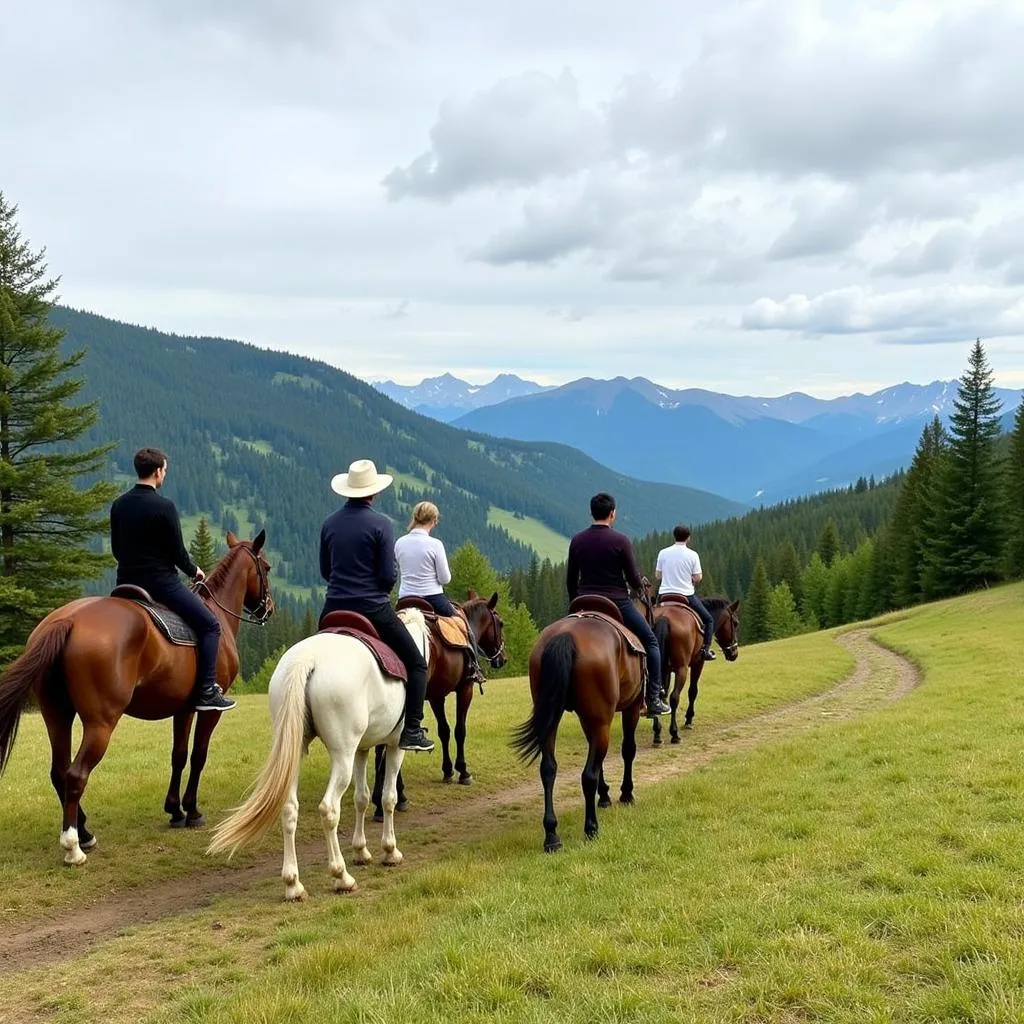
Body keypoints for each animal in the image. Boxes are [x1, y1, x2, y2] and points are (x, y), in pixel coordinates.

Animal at [0, 532, 274, 868]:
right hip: (101, 723)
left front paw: (174, 810)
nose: (269, 608)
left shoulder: (183, 709)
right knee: (76, 775)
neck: (217, 613)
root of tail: (67, 621)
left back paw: (85, 832)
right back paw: (73, 846)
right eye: (266, 567)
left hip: (57, 714)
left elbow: (178, 755)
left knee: (59, 772)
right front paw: (192, 810)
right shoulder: (209, 710)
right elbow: (198, 755)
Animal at [205, 606, 430, 897]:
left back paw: (293, 884)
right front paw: (390, 851)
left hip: (298, 754)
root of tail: (308, 658)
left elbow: (361, 797)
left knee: (289, 808)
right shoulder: (393, 747)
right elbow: (388, 798)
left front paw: (361, 851)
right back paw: (341, 876)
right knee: (329, 809)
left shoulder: (361, 750)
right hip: (342, 756)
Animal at [372, 589, 507, 819]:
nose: (502, 658)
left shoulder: (436, 697)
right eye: (501, 623)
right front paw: (463, 771)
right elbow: (460, 730)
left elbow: (444, 730)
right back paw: (390, 799)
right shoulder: (465, 690)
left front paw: (447, 770)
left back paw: (389, 797)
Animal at [509, 598, 643, 851]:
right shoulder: (631, 708)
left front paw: (605, 797)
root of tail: (565, 635)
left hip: (553, 719)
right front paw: (625, 794)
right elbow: (628, 750)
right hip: (601, 719)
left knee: (548, 769)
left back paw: (552, 835)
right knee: (587, 775)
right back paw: (591, 828)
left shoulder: (588, 720)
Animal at [651, 593, 741, 745]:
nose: (734, 653)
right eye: (735, 623)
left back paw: (657, 734)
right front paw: (688, 719)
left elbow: (662, 695)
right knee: (674, 697)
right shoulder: (698, 664)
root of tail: (664, 617)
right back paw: (674, 733)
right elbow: (693, 691)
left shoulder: (666, 670)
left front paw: (658, 729)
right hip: (682, 669)